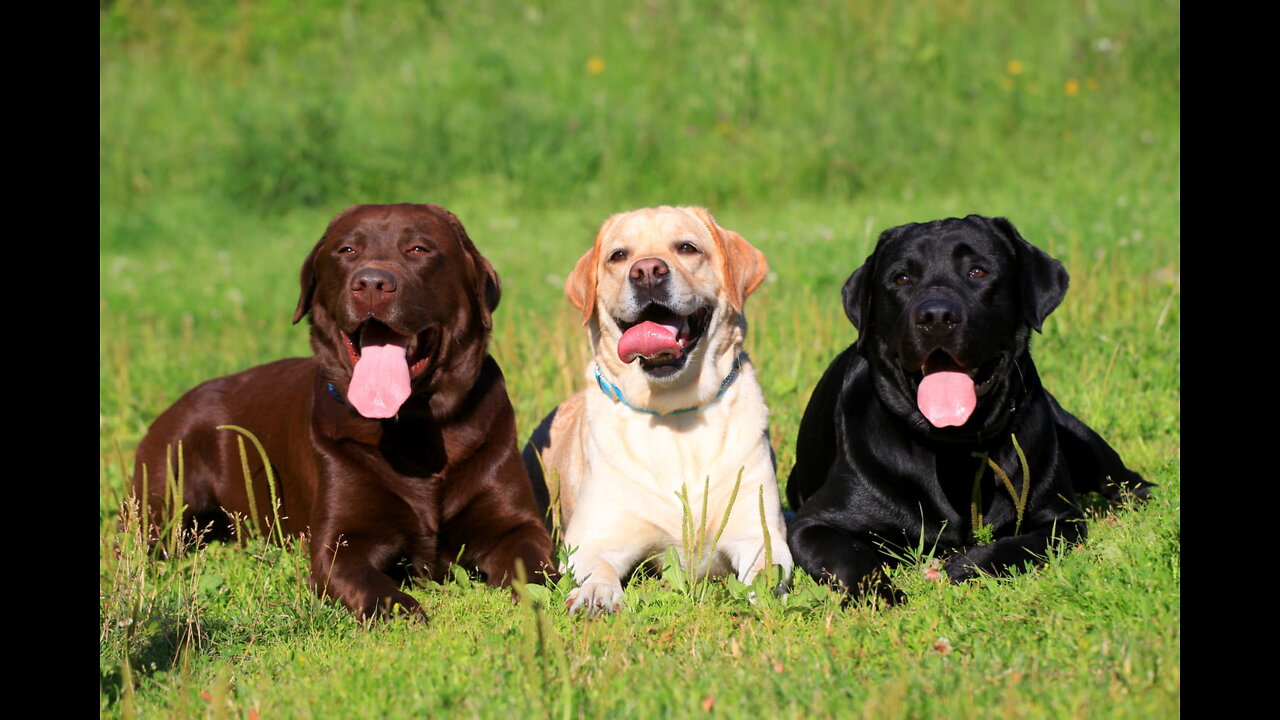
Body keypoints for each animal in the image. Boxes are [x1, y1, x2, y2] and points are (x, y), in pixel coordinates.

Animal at [783, 215, 1146, 597]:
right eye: (901, 279)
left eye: (977, 271)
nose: (937, 316)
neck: (954, 448)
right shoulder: (812, 524)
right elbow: (852, 558)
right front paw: (883, 595)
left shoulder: (1061, 518)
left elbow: (1018, 544)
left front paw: (966, 565)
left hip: (1081, 439)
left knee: (1126, 480)